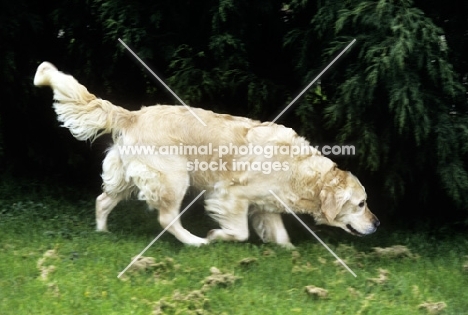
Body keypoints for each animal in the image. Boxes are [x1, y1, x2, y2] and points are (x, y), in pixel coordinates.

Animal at [33, 62, 378, 249]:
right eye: (361, 204)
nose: (376, 224)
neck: (299, 170)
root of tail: (132, 114)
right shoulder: (230, 196)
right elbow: (239, 232)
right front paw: (215, 235)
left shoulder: (266, 206)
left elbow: (281, 237)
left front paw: (288, 252)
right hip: (174, 178)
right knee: (166, 218)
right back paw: (195, 241)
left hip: (127, 178)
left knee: (102, 200)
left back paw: (103, 233)